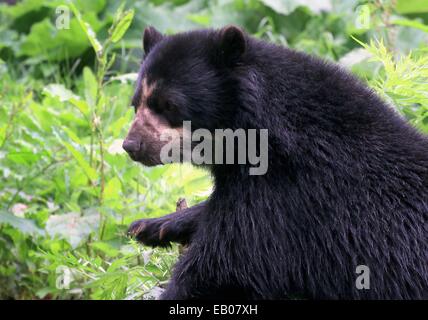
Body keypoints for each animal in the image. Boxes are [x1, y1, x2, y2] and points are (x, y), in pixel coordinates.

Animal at [123, 25, 428, 300]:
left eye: (169, 104)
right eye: (135, 103)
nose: (131, 145)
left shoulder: (283, 194)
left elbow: (228, 264)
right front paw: (151, 225)